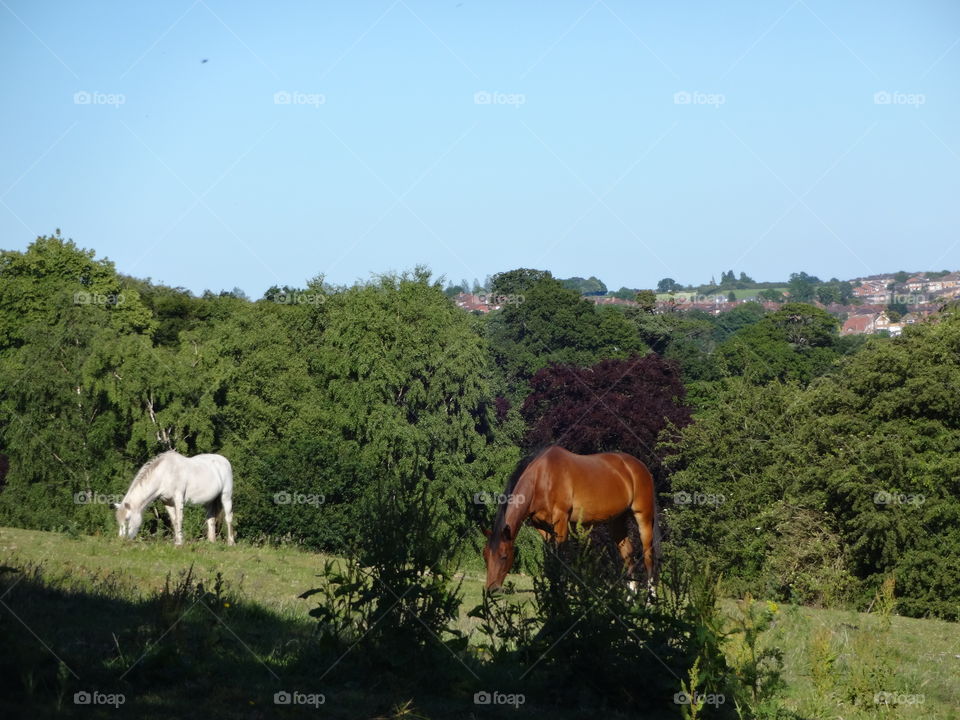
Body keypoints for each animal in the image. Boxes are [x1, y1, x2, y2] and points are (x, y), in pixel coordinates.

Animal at [480, 448, 660, 592]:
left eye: (504, 556)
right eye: (486, 556)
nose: (491, 589)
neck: (542, 478)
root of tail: (640, 467)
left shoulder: (561, 521)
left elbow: (560, 558)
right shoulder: (544, 529)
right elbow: (551, 559)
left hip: (643, 517)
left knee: (648, 557)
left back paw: (650, 601)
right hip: (617, 521)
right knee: (628, 555)